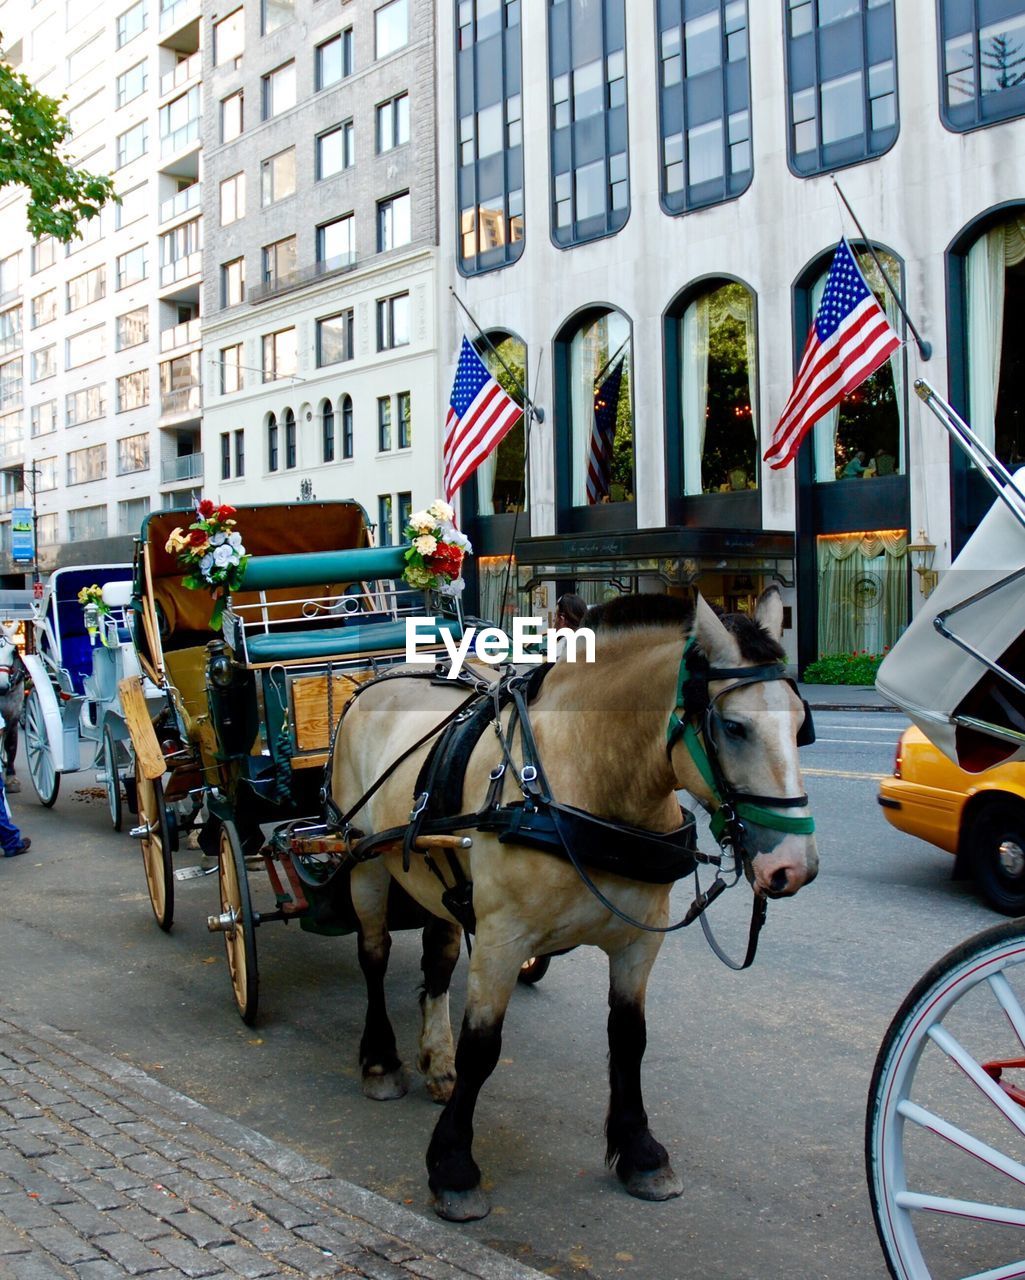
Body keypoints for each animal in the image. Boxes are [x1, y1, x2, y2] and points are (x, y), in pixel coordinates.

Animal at [332, 588, 818, 1218]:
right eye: (733, 728)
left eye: (802, 725)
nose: (793, 867)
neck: (585, 785)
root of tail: (376, 680)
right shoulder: (502, 940)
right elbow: (482, 1048)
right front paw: (453, 1165)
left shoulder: (639, 940)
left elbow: (629, 1040)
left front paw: (640, 1152)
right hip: (363, 863)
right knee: (374, 954)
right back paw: (380, 1060)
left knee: (436, 961)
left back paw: (436, 1060)